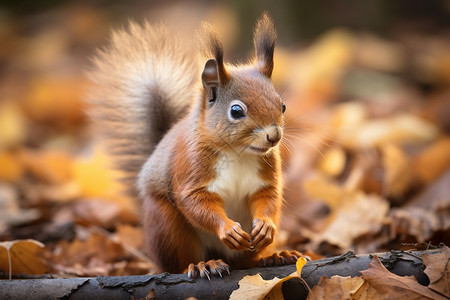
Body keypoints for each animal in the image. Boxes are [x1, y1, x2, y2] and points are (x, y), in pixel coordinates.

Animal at [86, 12, 300, 278]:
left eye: (282, 105)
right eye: (236, 111)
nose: (274, 136)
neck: (237, 153)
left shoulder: (266, 174)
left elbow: (268, 196)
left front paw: (265, 227)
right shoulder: (189, 166)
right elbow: (194, 202)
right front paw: (227, 229)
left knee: (245, 263)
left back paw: (273, 257)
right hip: (167, 226)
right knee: (178, 263)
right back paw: (202, 265)